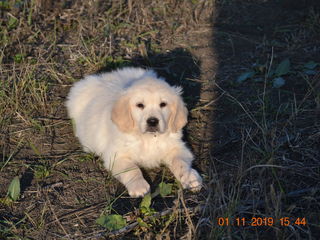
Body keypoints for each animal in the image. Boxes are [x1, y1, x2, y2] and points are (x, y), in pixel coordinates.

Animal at [66, 67, 202, 197]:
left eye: (163, 104)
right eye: (140, 105)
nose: (152, 121)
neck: (148, 138)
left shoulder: (177, 147)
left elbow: (180, 162)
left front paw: (190, 178)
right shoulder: (116, 156)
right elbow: (132, 169)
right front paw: (139, 186)